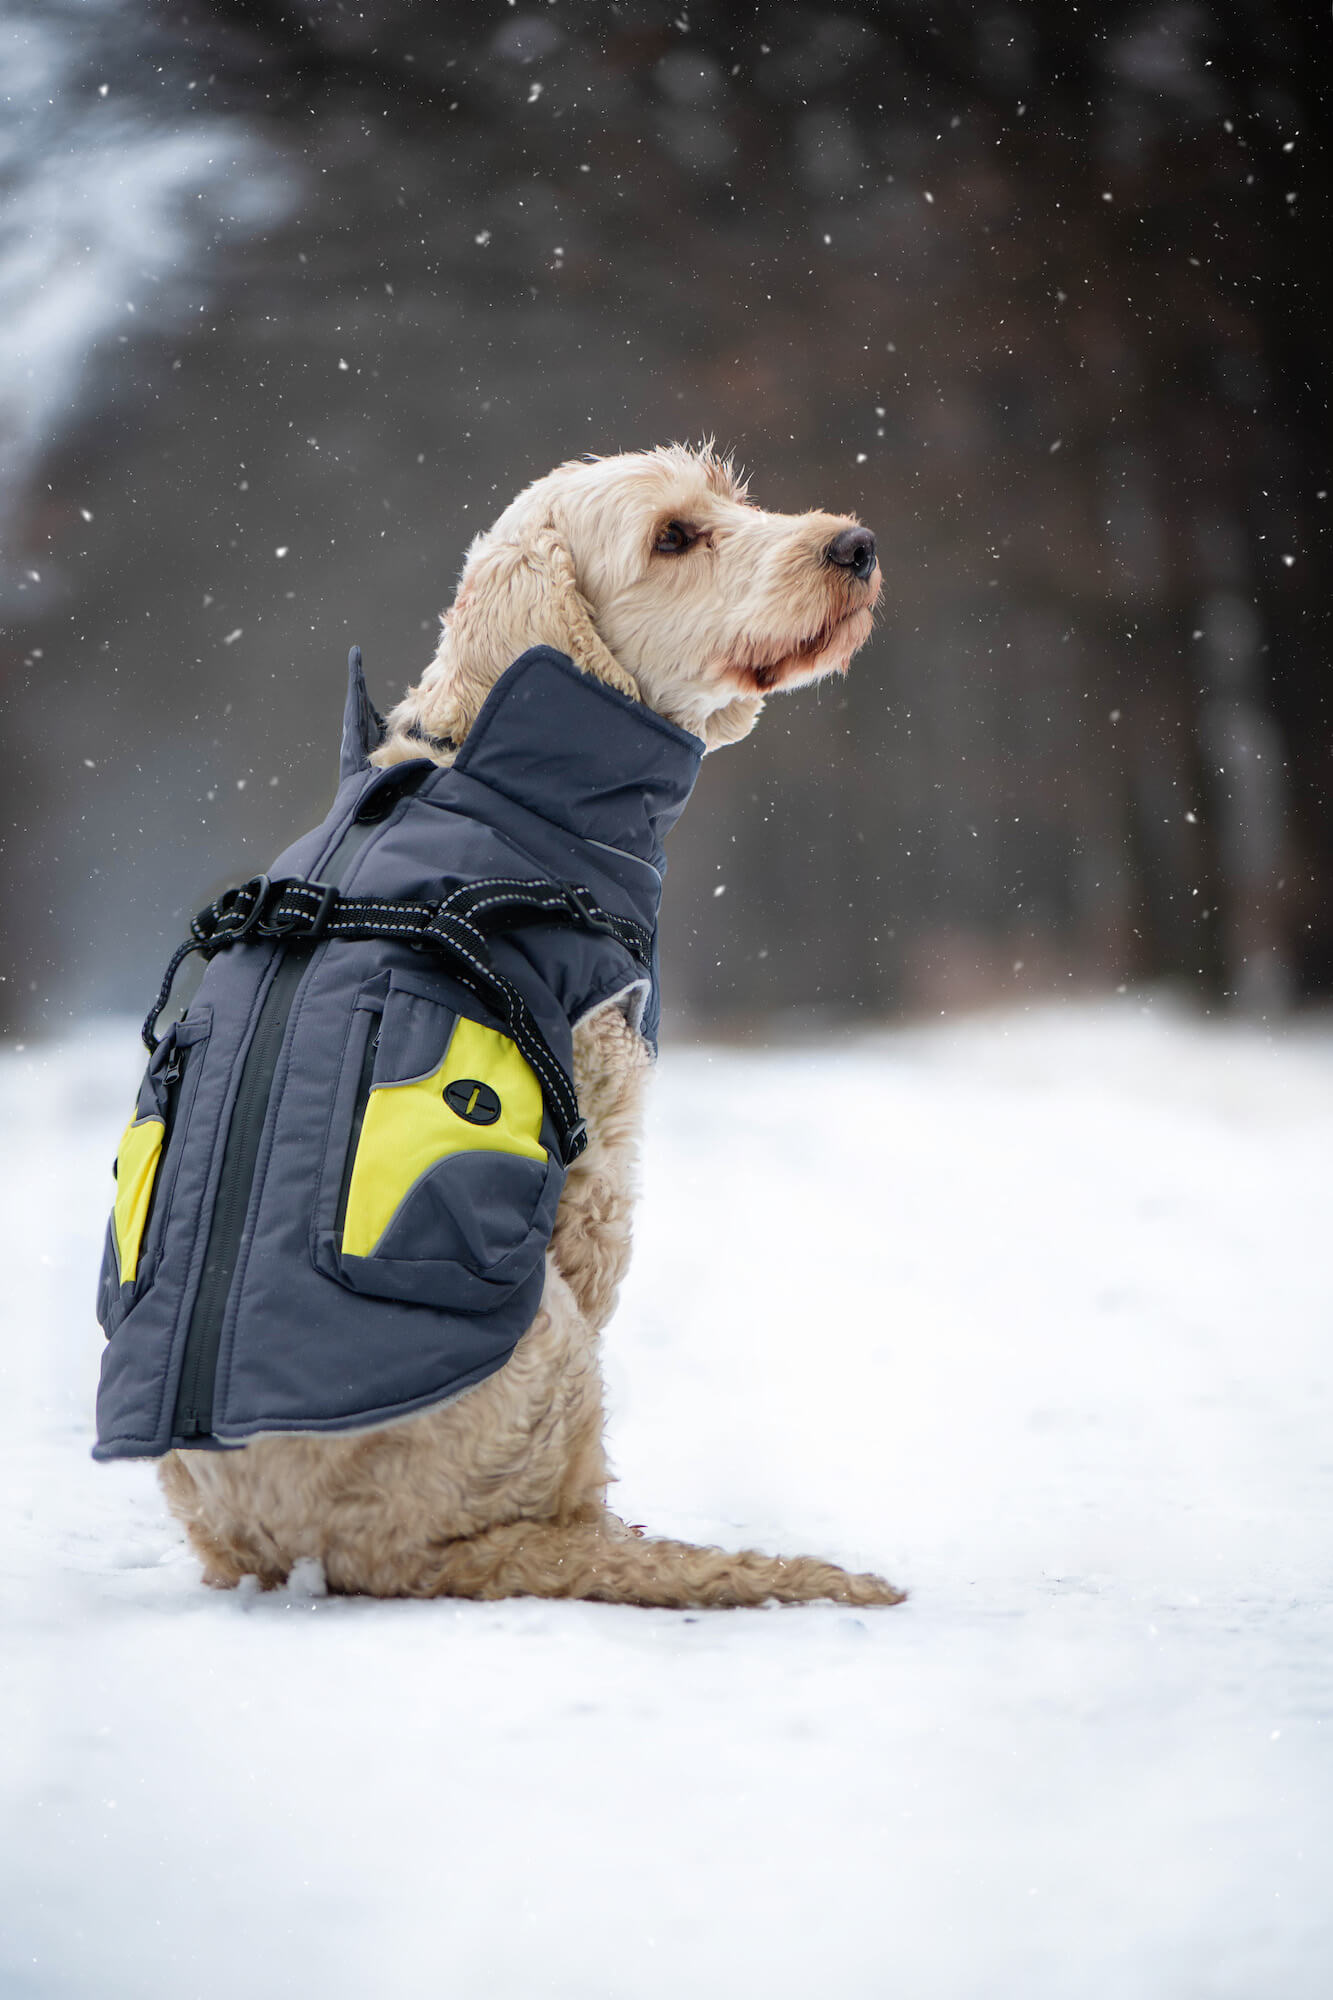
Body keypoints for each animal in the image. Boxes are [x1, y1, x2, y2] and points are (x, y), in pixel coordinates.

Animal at [158, 442, 904, 1608]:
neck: (478, 762)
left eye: (728, 494)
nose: (855, 544)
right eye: (672, 537)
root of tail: (325, 1555)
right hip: (547, 1345)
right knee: (542, 1523)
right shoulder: (598, 1120)